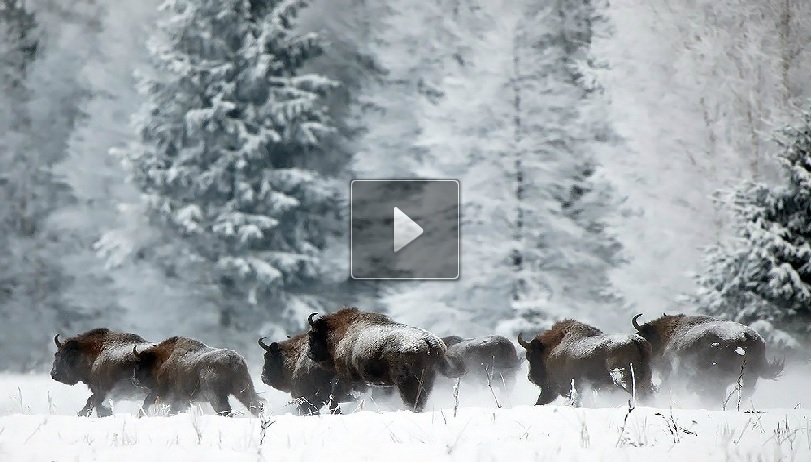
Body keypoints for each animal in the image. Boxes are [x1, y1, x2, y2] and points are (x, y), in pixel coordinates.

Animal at [133, 336, 264, 416]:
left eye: (141, 363)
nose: (135, 380)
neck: (163, 360)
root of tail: (232, 360)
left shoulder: (167, 394)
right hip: (244, 389)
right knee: (254, 406)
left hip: (215, 395)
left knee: (224, 409)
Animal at [308, 306, 466, 412]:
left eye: (312, 335)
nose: (310, 354)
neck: (343, 332)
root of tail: (431, 342)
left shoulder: (349, 379)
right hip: (426, 381)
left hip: (407, 383)